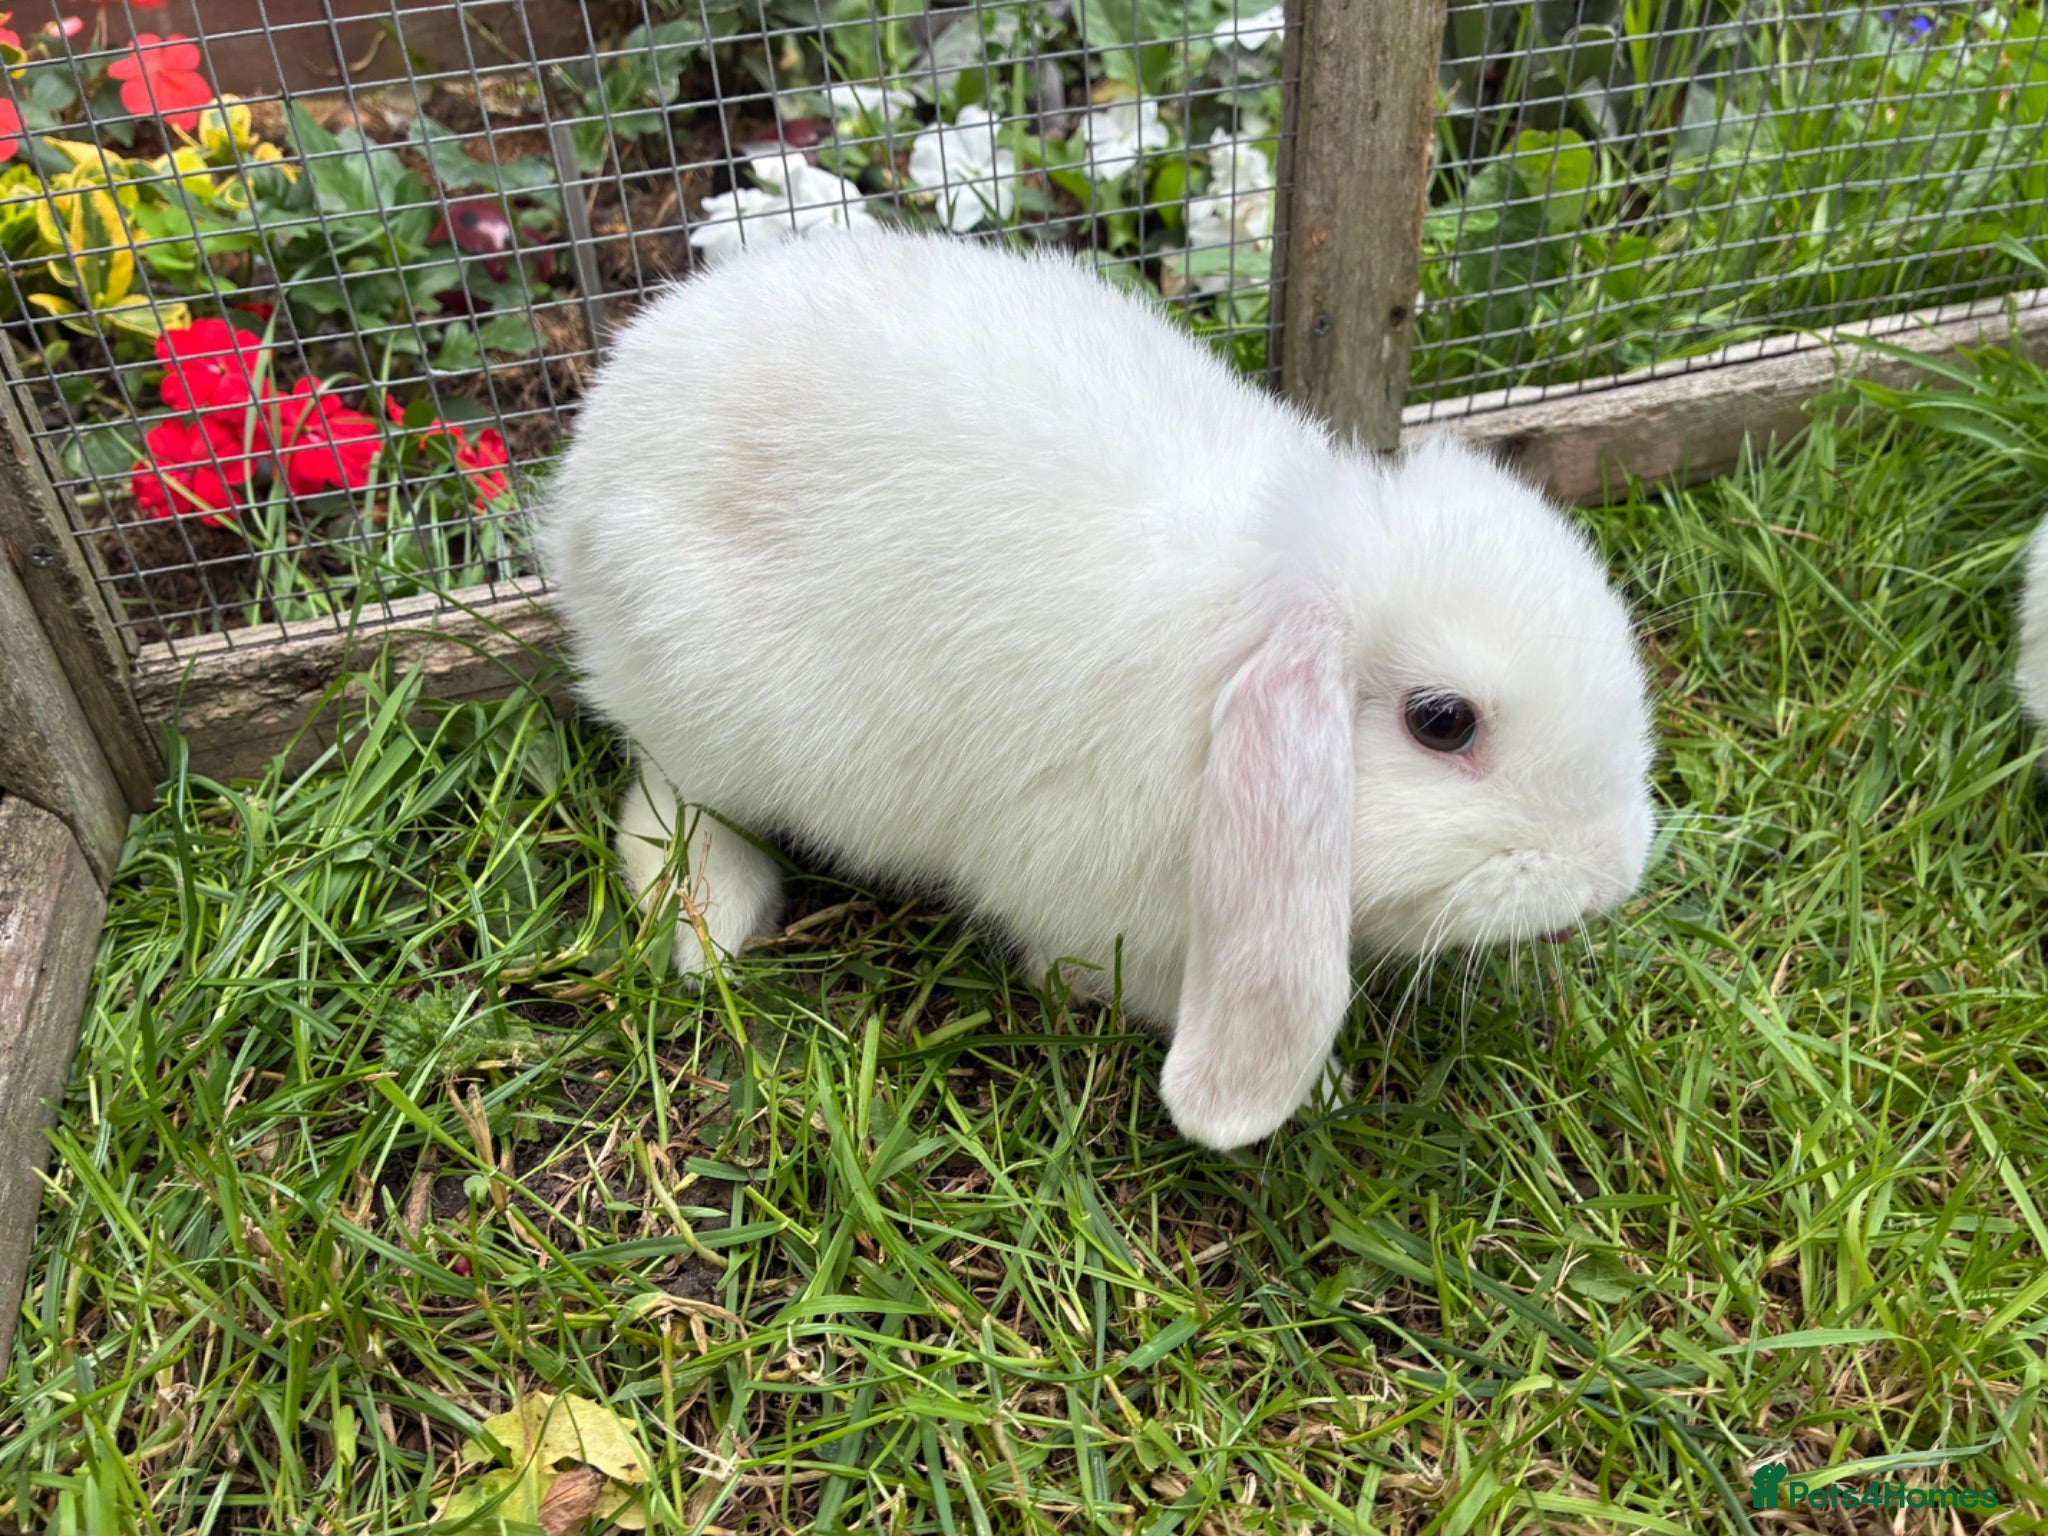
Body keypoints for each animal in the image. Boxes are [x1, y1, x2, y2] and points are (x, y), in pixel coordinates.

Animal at [538, 229, 1657, 1152]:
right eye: (1442, 722)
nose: (1603, 879)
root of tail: (597, 438)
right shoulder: (1100, 912)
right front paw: (1324, 1093)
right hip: (701, 705)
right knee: (666, 796)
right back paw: (709, 920)